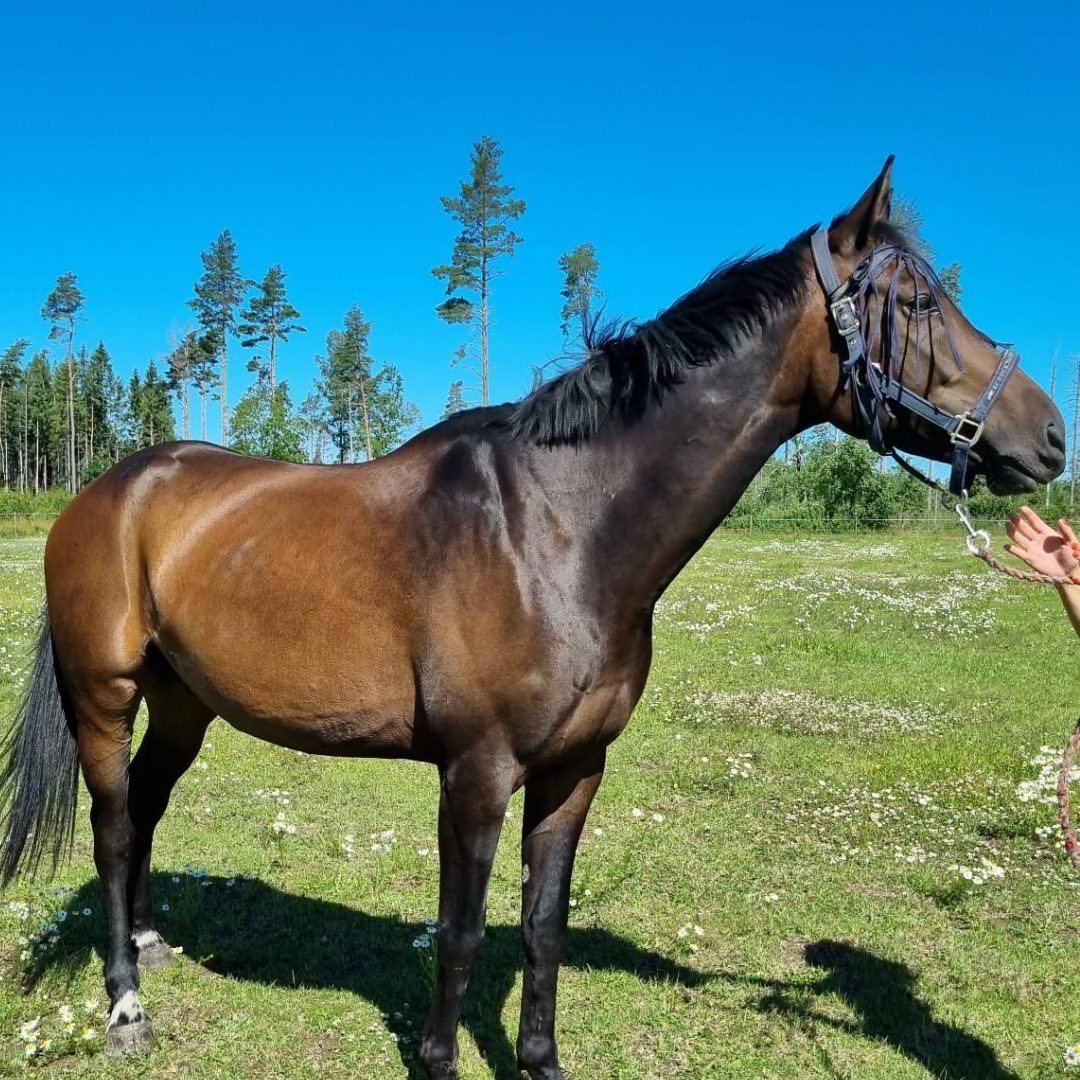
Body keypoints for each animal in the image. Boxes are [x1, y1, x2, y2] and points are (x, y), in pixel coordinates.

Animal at [0, 158, 1065, 1079]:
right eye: (917, 305)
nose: (1051, 438)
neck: (558, 528)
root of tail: (108, 491)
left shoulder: (573, 770)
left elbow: (542, 925)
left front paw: (540, 1060)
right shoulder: (477, 773)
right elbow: (464, 931)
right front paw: (438, 1061)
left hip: (185, 702)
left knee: (147, 806)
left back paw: (149, 943)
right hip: (105, 695)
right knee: (110, 825)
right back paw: (126, 1005)